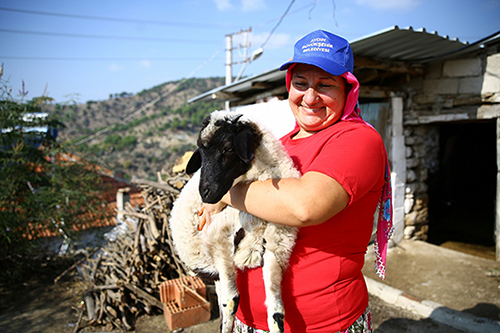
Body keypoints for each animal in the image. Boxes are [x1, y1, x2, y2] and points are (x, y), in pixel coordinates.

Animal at [168, 111, 300, 332]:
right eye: (200, 152)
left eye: (228, 148)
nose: (205, 193)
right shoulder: (218, 242)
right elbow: (232, 300)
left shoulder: (275, 246)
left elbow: (276, 312)